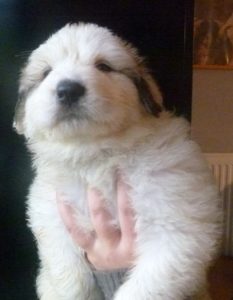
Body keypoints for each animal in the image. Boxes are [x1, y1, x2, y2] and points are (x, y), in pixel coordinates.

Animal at [14, 22, 222, 298]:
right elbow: (69, 276)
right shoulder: (53, 219)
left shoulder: (174, 226)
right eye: (47, 72)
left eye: (103, 66)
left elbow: (144, 287)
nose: (68, 89)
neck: (96, 155)